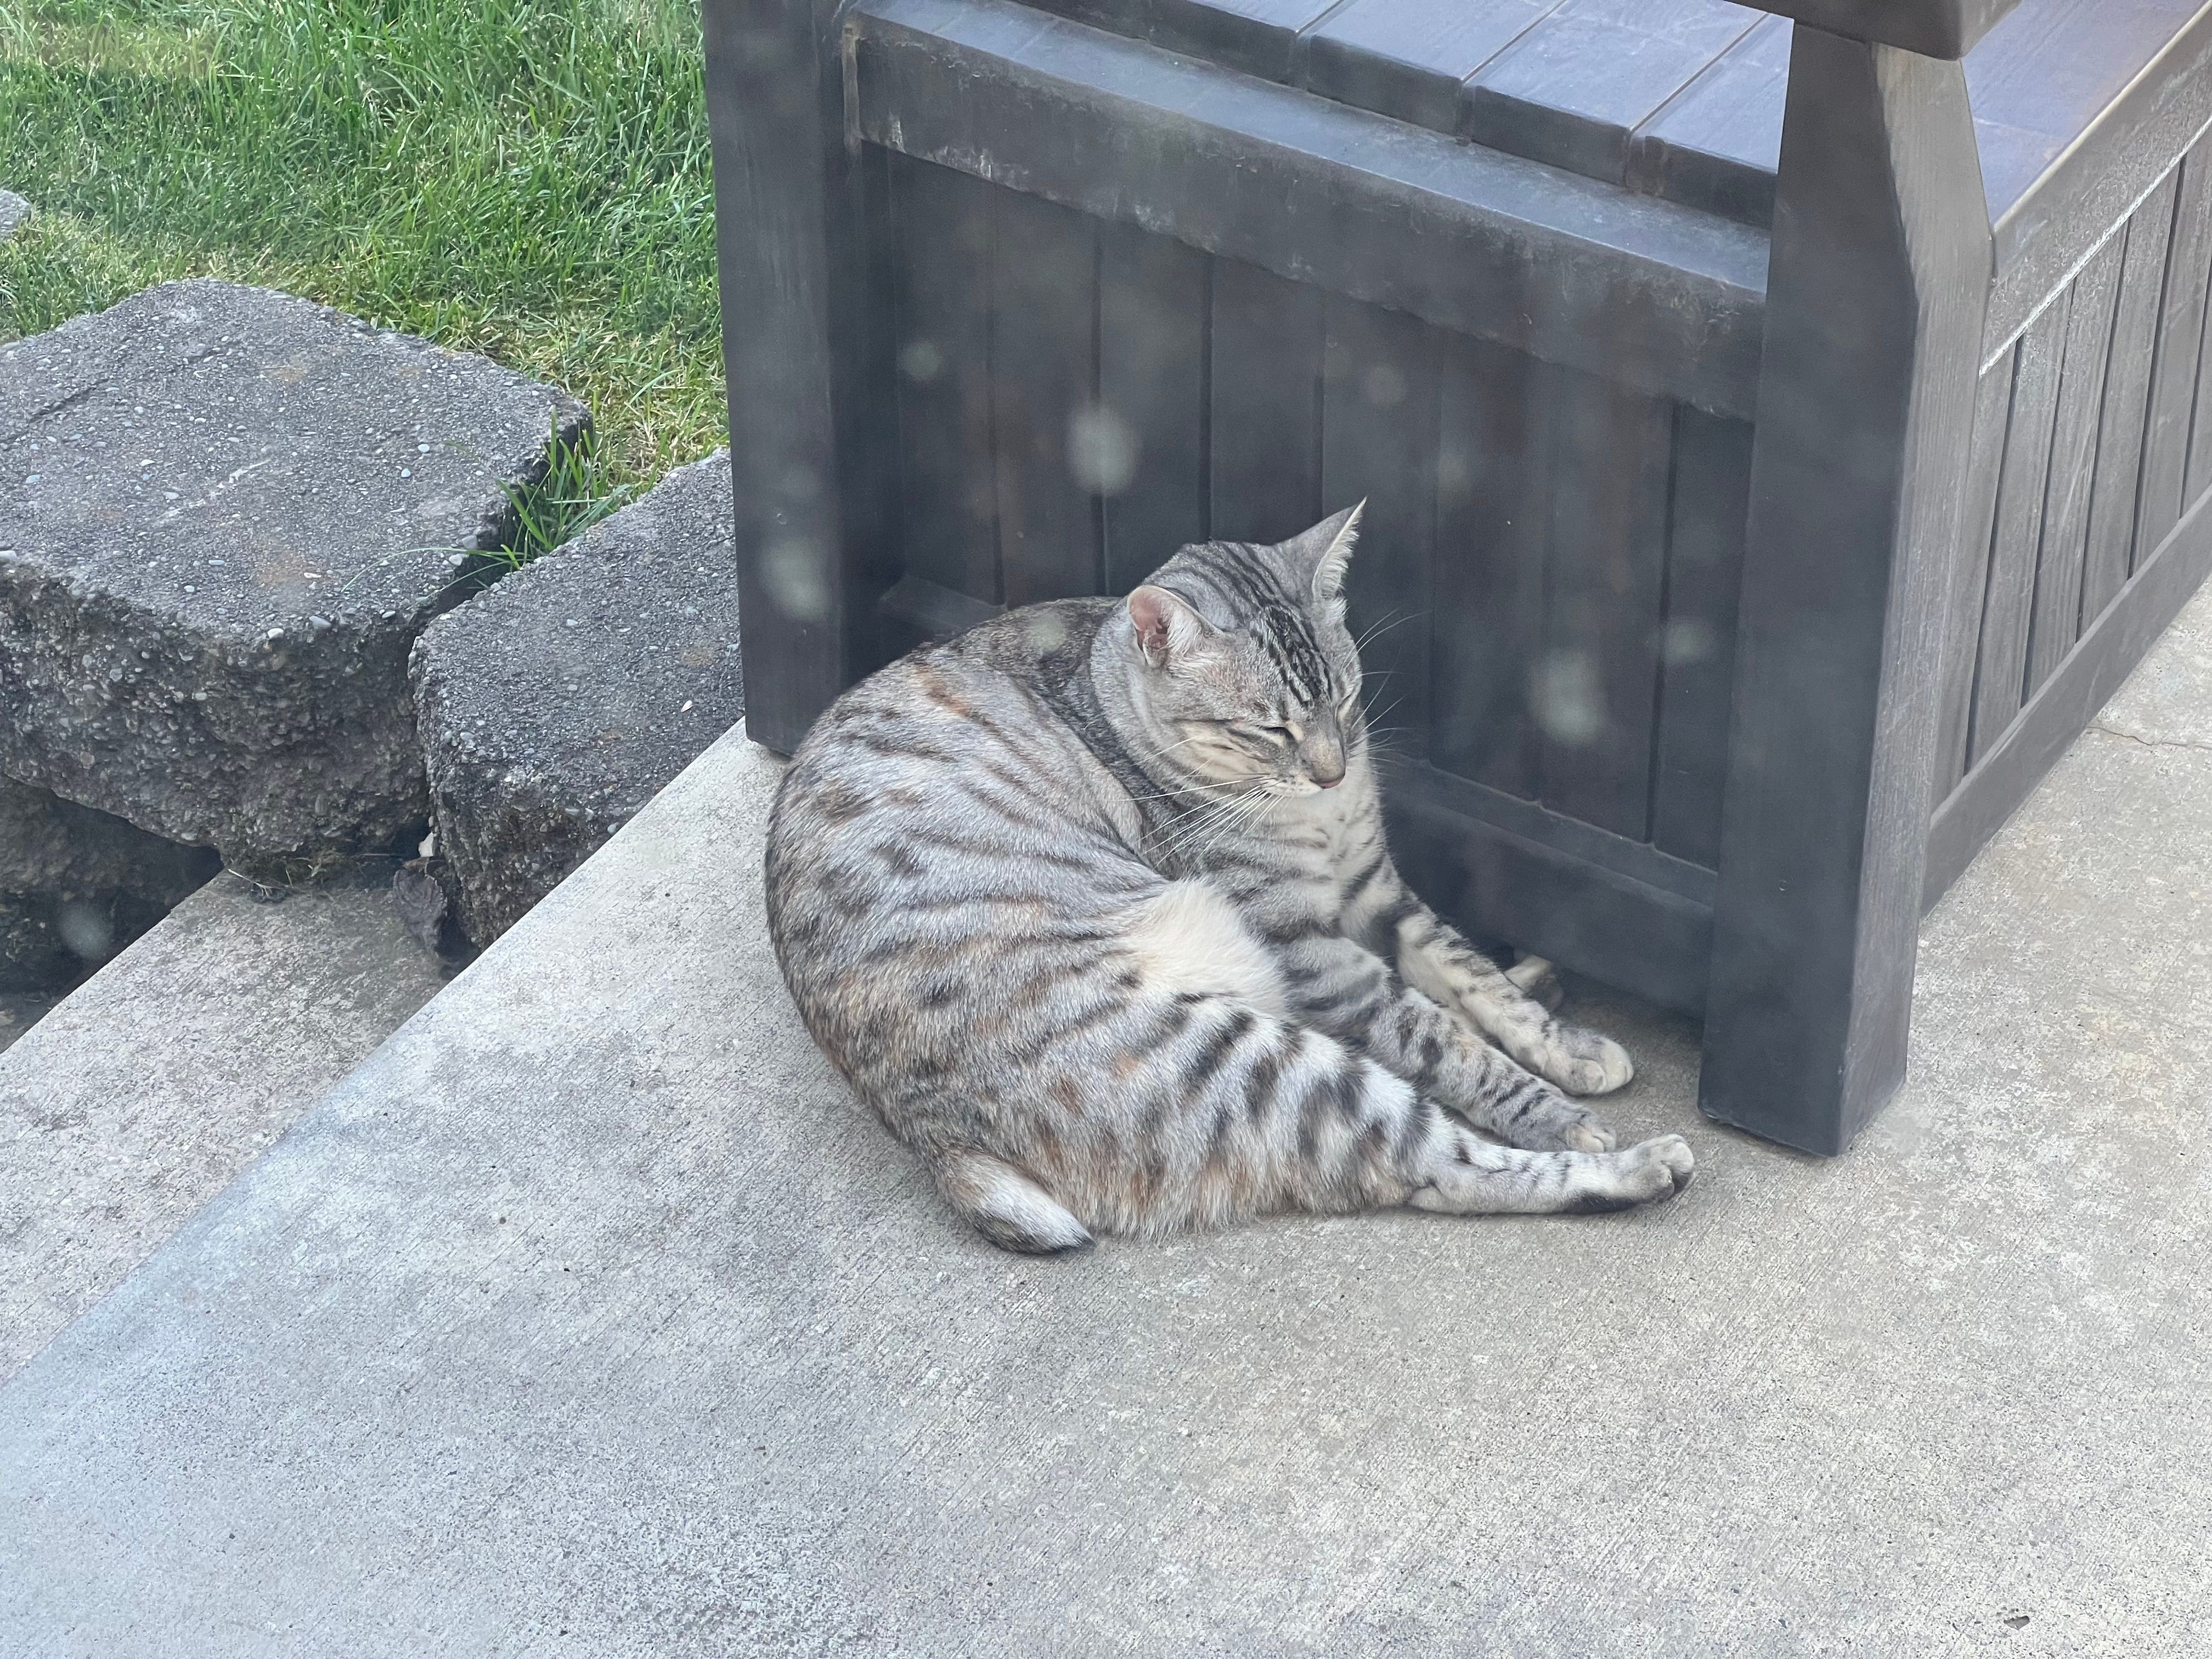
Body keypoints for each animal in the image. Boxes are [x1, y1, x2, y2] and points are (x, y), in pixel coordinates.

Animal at [765, 505, 1694, 1253]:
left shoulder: (1375, 892)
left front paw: (1565, 1047)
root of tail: (938, 1143)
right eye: (1268, 730)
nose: (1330, 770)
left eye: (1346, 699)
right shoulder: (1312, 945)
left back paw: (1547, 985)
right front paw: (1559, 1111)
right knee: (1438, 1167)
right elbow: (1444, 1037)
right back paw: (1639, 1164)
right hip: (1256, 1057)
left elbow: (1471, 979)